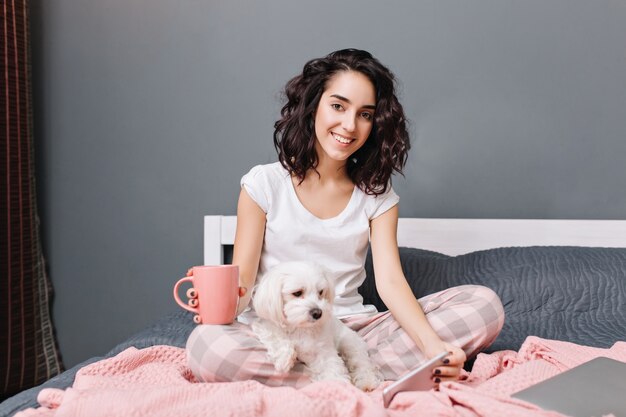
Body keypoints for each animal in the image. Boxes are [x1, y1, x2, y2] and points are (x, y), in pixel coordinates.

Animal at [249, 260, 380, 390]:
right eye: (297, 293)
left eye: (320, 292)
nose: (318, 313)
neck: (299, 327)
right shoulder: (265, 326)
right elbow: (277, 338)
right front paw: (284, 359)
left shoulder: (323, 351)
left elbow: (333, 368)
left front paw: (337, 386)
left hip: (351, 344)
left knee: (361, 363)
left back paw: (367, 382)